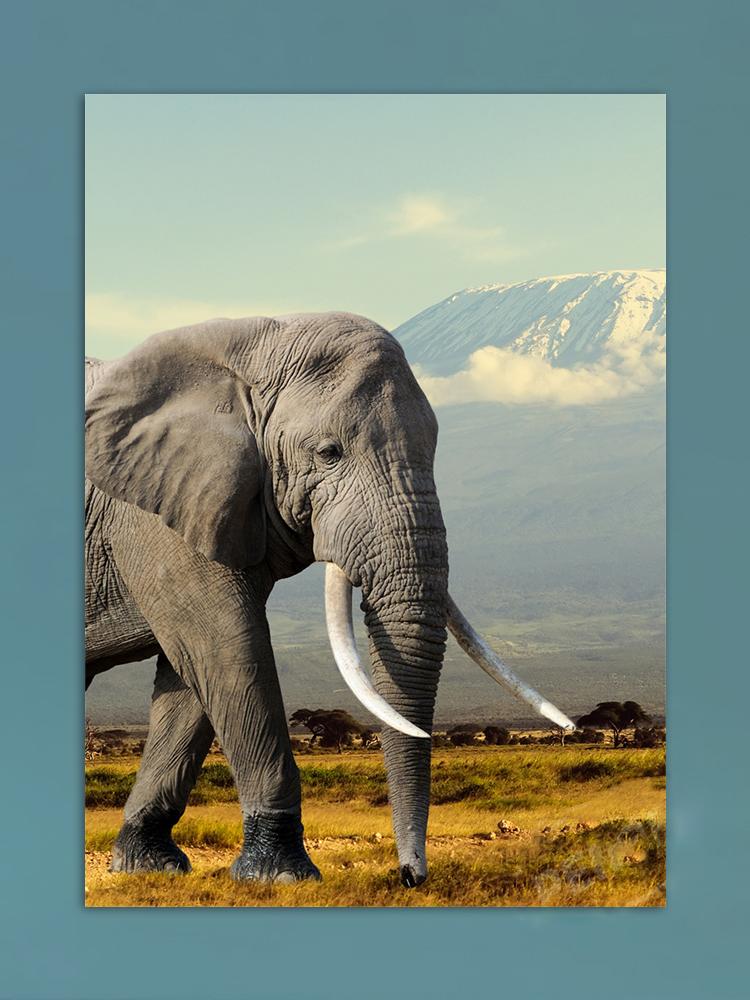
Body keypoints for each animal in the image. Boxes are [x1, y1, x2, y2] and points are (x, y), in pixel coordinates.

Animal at [85, 311, 574, 888]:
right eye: (328, 453)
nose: (411, 876)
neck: (249, 344)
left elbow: (191, 678)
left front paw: (148, 867)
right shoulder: (152, 512)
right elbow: (227, 648)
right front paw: (280, 875)